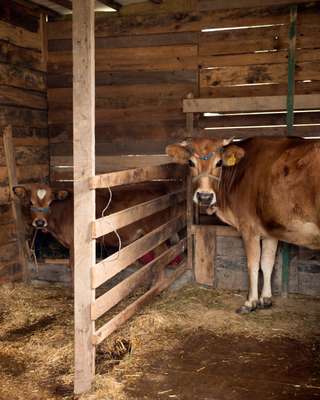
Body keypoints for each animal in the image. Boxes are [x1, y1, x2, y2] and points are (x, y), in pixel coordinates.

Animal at [168, 136, 320, 314]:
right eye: (190, 163)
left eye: (219, 162)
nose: (204, 196)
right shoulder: (270, 230)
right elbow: (267, 263)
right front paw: (266, 299)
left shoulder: (249, 228)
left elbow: (253, 264)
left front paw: (250, 302)